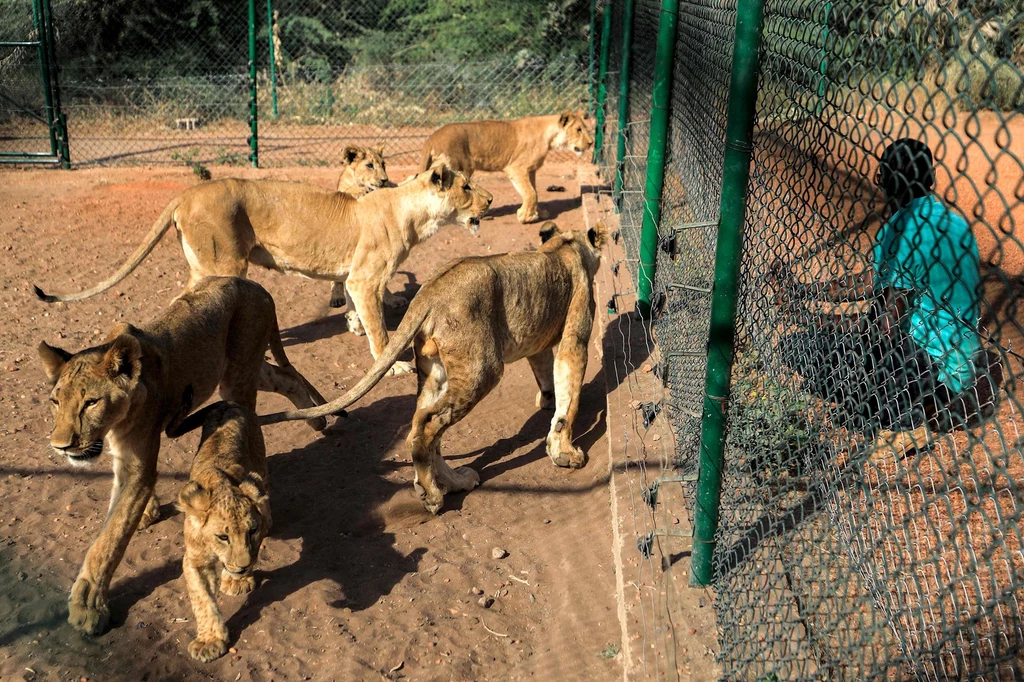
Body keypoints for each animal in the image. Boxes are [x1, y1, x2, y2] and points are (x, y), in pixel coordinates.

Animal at [35, 161, 491, 374]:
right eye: (466, 186)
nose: (489, 200)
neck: (412, 212)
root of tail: (186, 194)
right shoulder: (366, 279)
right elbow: (381, 331)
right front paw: (390, 363)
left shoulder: (355, 279)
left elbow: (356, 309)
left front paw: (352, 325)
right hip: (223, 263)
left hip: (205, 265)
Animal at [37, 274, 323, 630]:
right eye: (55, 402)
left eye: (91, 402)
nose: (61, 446)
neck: (114, 423)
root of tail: (255, 285)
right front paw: (148, 510)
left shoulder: (138, 464)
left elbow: (109, 538)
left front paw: (88, 604)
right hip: (246, 368)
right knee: (284, 376)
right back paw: (319, 419)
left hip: (238, 374)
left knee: (254, 405)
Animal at [164, 401, 268, 659]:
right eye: (223, 536)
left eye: (252, 531)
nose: (243, 567)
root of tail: (230, 403)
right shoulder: (194, 559)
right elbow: (202, 599)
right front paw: (209, 641)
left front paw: (237, 580)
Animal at [260, 220, 606, 512]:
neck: (563, 246)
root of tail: (428, 293)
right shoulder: (575, 336)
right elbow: (569, 398)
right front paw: (565, 452)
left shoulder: (538, 340)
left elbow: (545, 372)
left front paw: (546, 399)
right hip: (482, 369)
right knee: (429, 424)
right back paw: (432, 495)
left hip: (434, 370)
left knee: (420, 426)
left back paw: (452, 483)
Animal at [417, 110, 593, 223]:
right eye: (579, 130)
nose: (591, 143)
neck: (549, 137)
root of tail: (431, 139)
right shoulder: (516, 168)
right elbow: (530, 193)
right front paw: (525, 217)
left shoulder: (531, 170)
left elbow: (534, 192)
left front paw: (538, 213)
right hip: (459, 169)